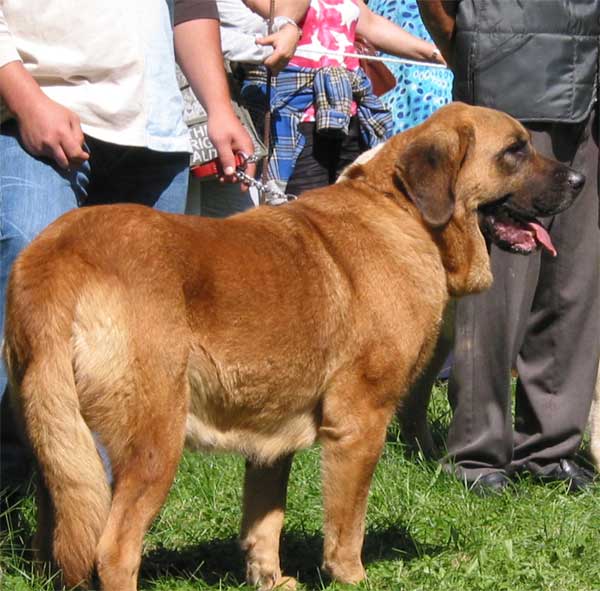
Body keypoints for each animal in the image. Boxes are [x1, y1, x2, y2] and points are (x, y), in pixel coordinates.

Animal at [2, 104, 584, 588]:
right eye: (515, 150)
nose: (579, 179)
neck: (405, 214)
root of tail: (57, 256)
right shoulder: (359, 424)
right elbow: (346, 525)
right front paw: (352, 578)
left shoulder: (270, 440)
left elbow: (265, 522)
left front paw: (271, 580)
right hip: (153, 443)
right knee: (114, 552)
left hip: (60, 444)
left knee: (58, 539)